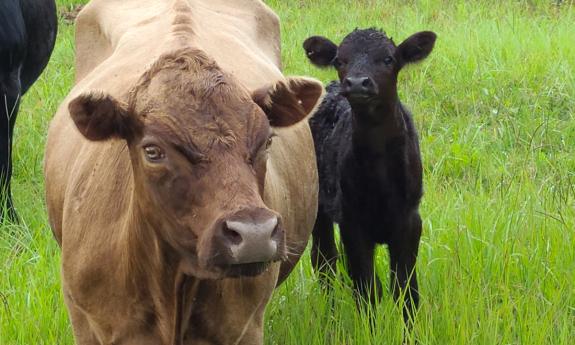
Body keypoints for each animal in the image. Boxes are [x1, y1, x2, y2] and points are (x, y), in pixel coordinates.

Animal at [304, 27, 434, 320]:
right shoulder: (353, 222)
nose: (356, 84)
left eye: (388, 59)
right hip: (317, 205)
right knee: (324, 260)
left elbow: (406, 290)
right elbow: (367, 290)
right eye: (340, 60)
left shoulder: (410, 221)